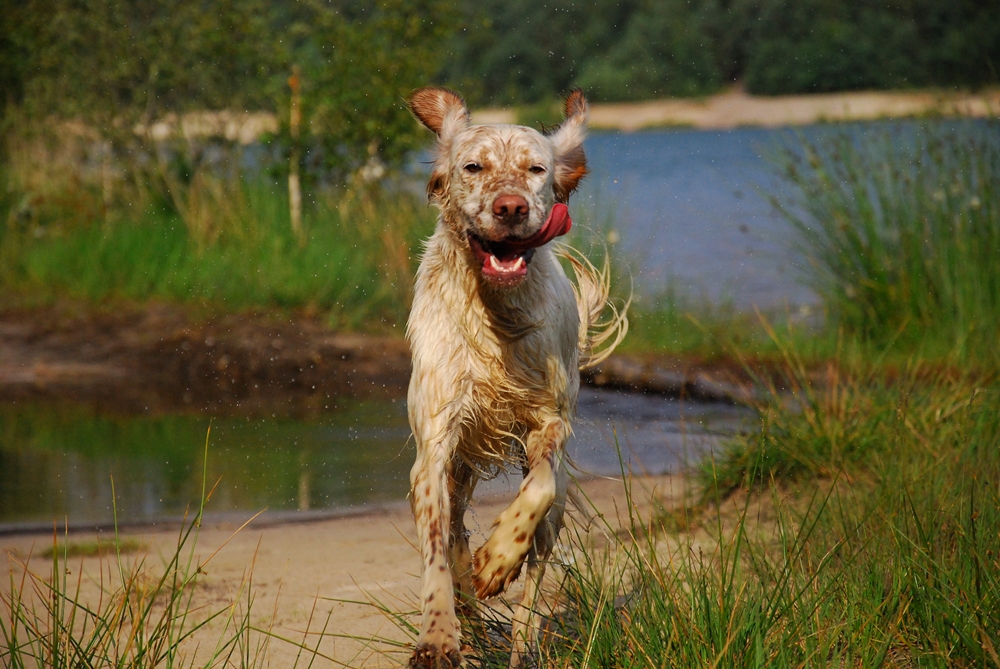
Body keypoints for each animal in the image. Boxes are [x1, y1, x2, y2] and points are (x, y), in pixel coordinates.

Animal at [404, 86, 624, 664]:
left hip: (555, 512)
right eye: (473, 166)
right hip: (458, 474)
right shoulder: (435, 447)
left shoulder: (549, 423)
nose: (510, 208)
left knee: (534, 580)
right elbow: (436, 551)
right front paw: (438, 636)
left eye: (536, 168)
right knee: (456, 532)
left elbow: (537, 487)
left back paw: (518, 638)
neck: (496, 315)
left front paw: (498, 558)